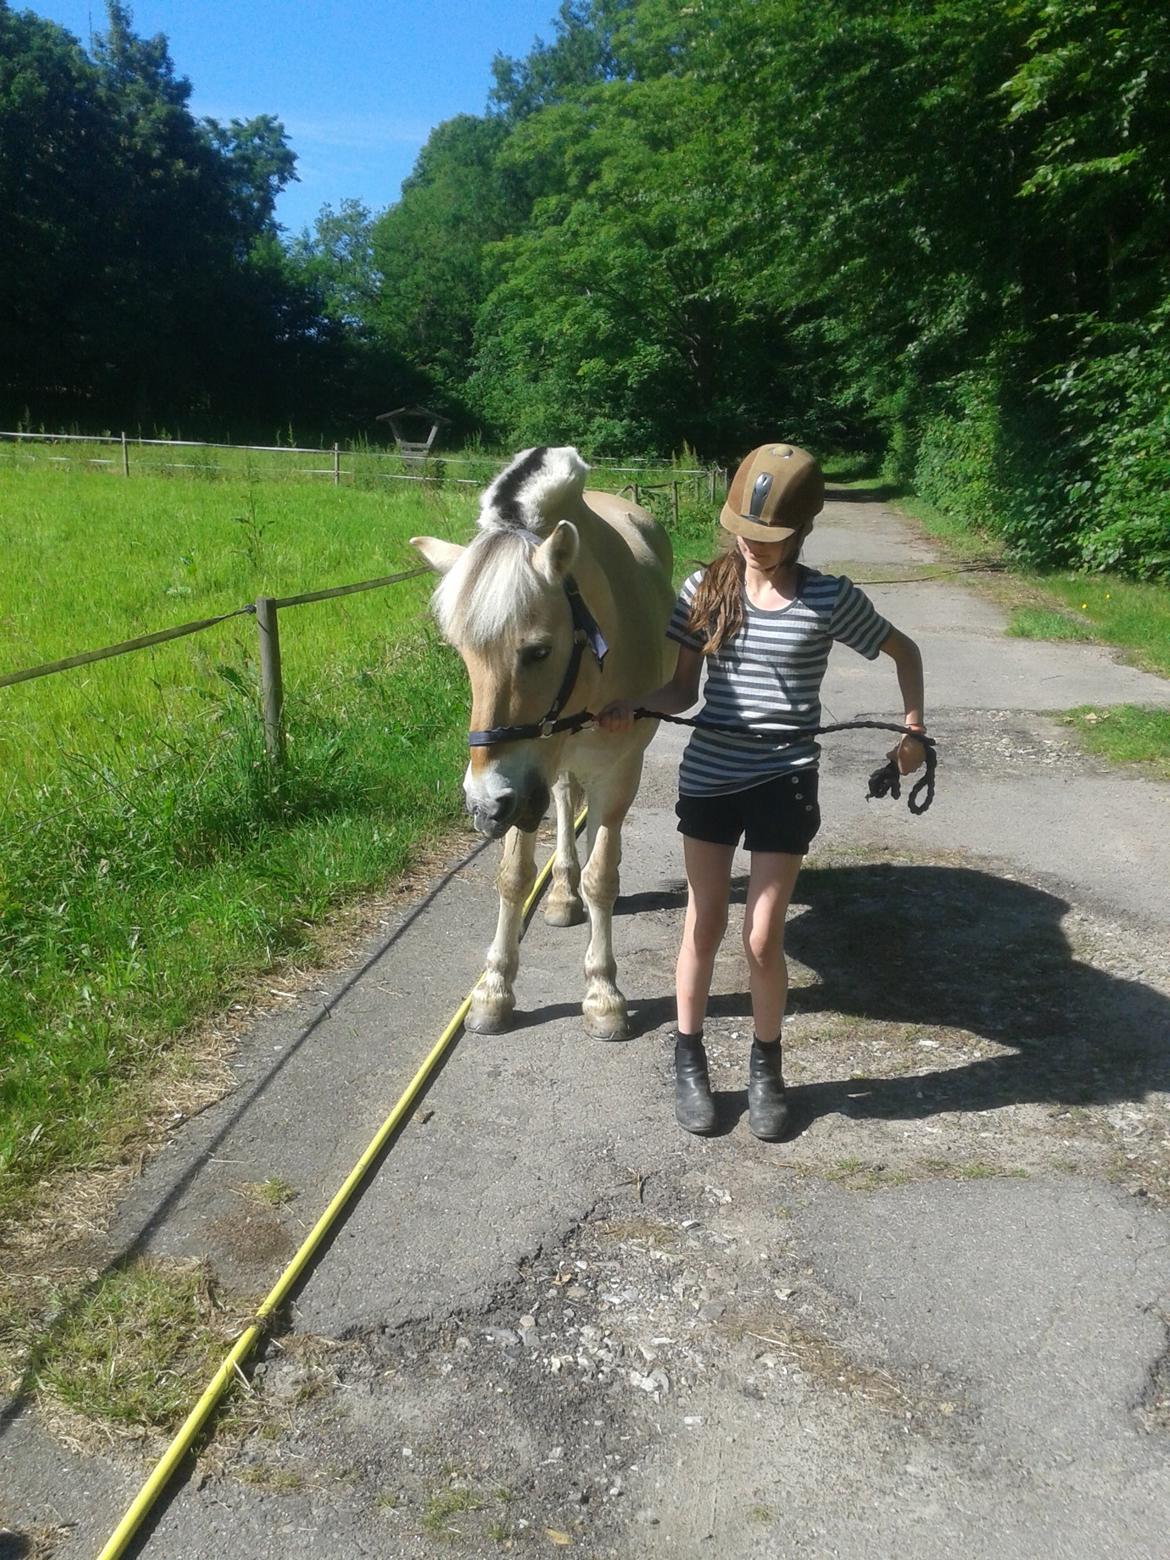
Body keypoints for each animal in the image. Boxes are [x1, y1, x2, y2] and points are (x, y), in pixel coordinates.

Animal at [411, 446, 673, 1042]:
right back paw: (559, 892)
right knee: (562, 801)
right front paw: (493, 990)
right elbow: (512, 878)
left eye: (537, 651)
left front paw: (603, 994)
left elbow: (603, 878)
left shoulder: (614, 774)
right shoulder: (521, 786)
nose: (482, 803)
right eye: (461, 652)